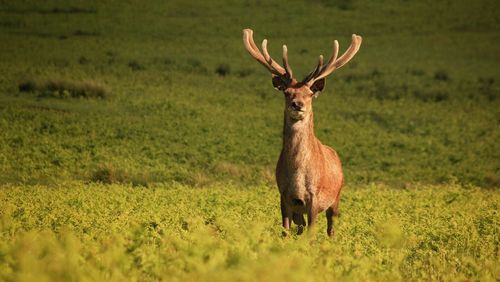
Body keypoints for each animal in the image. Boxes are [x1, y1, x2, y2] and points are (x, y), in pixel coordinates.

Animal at [241, 28, 362, 236]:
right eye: (287, 92)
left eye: (310, 94)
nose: (297, 104)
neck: (298, 176)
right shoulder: (284, 196)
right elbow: (285, 232)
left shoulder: (314, 196)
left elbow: (312, 234)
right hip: (300, 212)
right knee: (300, 228)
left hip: (336, 197)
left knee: (331, 228)